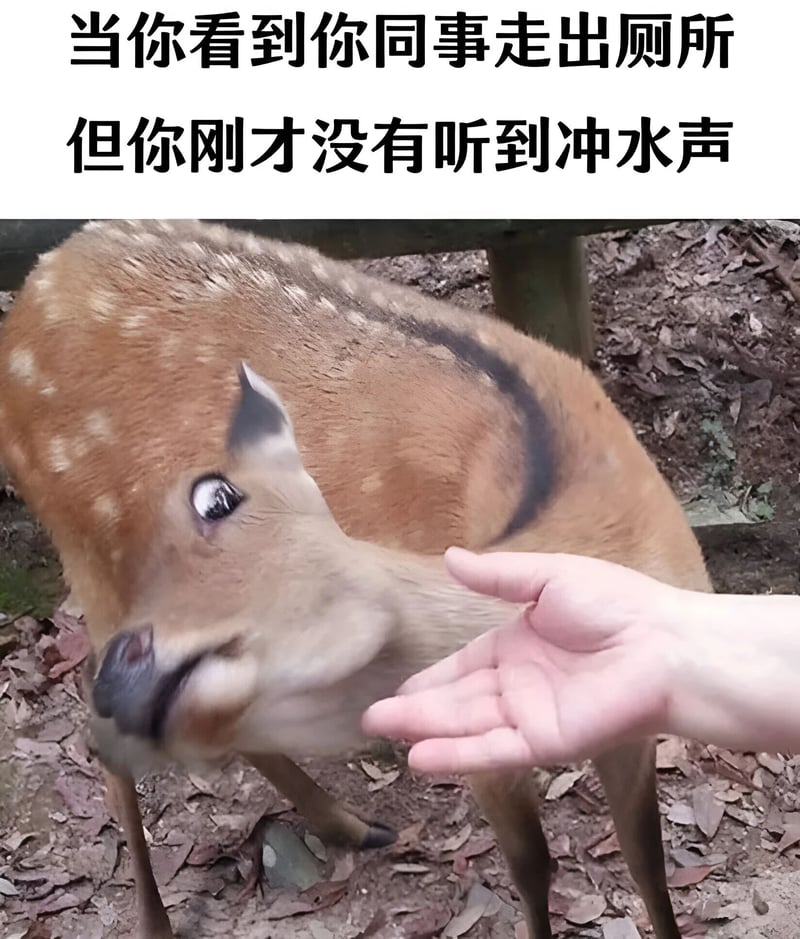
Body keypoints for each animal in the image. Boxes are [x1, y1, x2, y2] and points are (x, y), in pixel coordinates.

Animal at [0, 219, 710, 939]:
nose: (133, 675)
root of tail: (33, 288)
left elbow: (646, 859)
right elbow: (534, 867)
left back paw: (348, 825)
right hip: (89, 551)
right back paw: (155, 916)